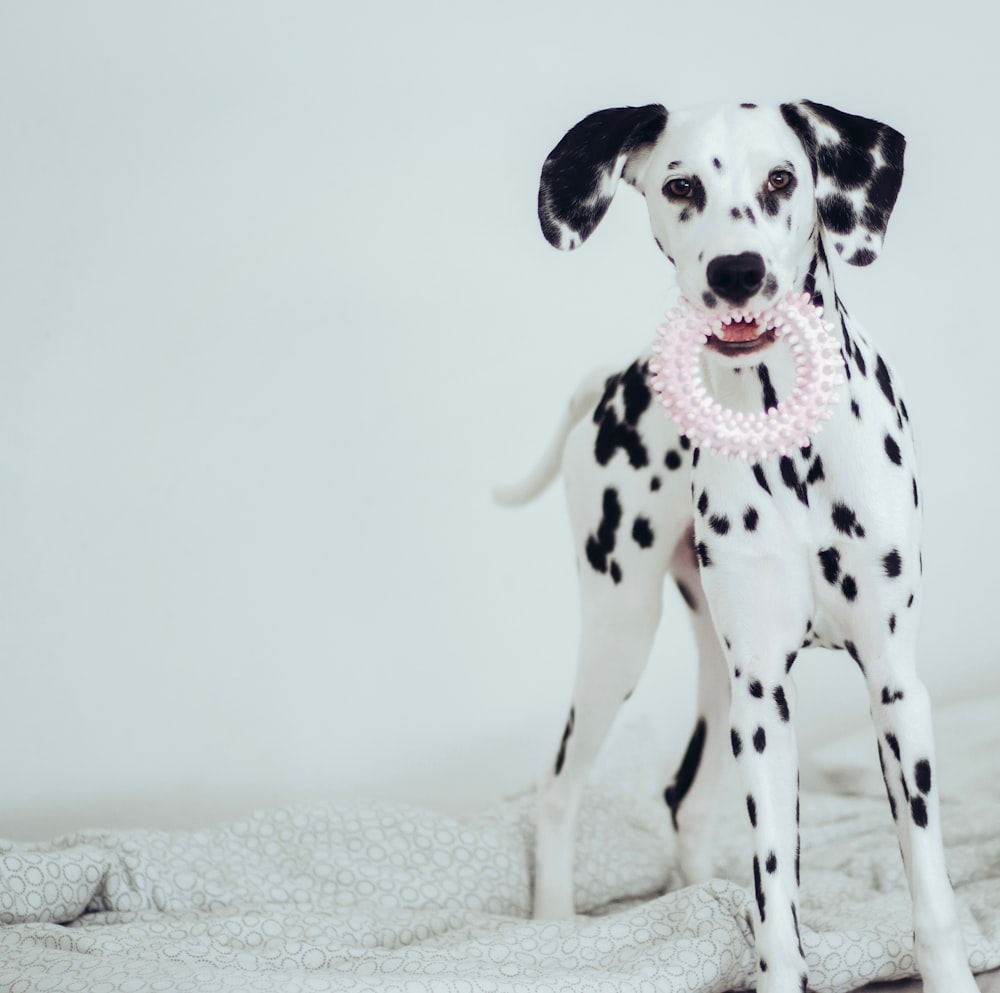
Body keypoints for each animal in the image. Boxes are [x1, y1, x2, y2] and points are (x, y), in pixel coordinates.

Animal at [500, 102, 976, 992]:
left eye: (782, 178)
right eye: (681, 185)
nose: (736, 271)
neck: (790, 438)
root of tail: (616, 380)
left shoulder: (893, 688)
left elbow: (929, 886)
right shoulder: (764, 702)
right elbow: (775, 896)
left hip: (715, 678)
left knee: (685, 803)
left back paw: (696, 896)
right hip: (622, 633)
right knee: (556, 786)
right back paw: (553, 930)